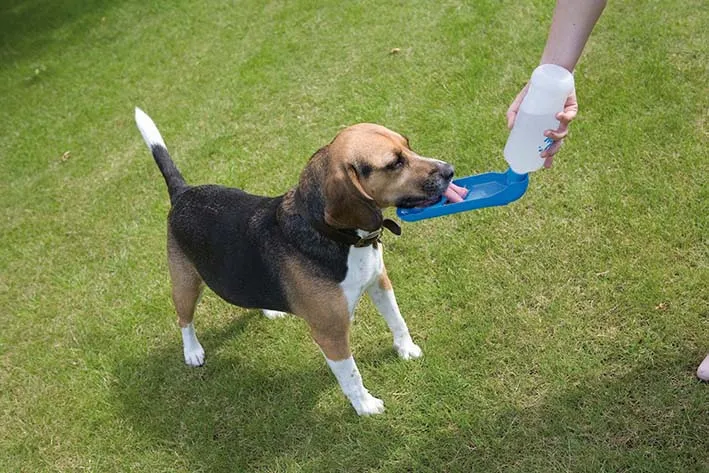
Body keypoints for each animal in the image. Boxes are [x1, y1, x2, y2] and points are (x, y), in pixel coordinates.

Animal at [133, 109, 454, 414]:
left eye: (408, 145)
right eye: (394, 163)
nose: (450, 171)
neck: (331, 234)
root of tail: (183, 192)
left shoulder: (379, 282)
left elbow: (397, 320)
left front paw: (406, 349)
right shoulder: (330, 334)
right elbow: (351, 376)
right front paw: (365, 406)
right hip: (186, 284)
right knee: (184, 319)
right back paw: (192, 351)